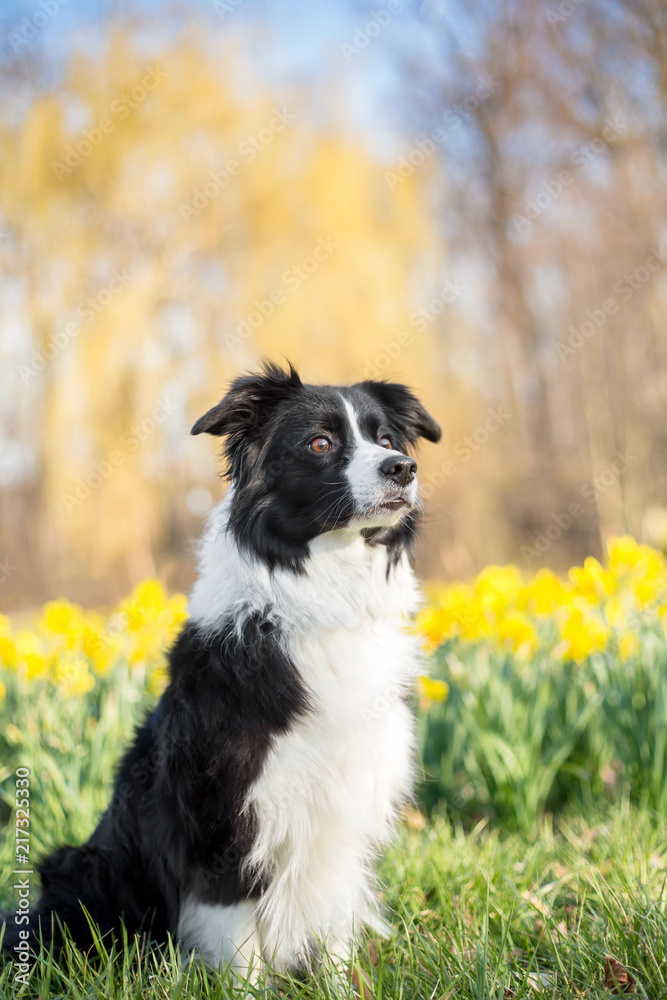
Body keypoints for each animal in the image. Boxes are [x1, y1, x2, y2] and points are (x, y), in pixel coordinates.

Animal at [1, 362, 444, 984]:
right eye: (320, 443)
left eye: (385, 440)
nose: (402, 468)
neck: (324, 591)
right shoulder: (223, 821)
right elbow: (236, 940)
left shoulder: (345, 803)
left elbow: (333, 924)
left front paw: (338, 986)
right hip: (82, 869)